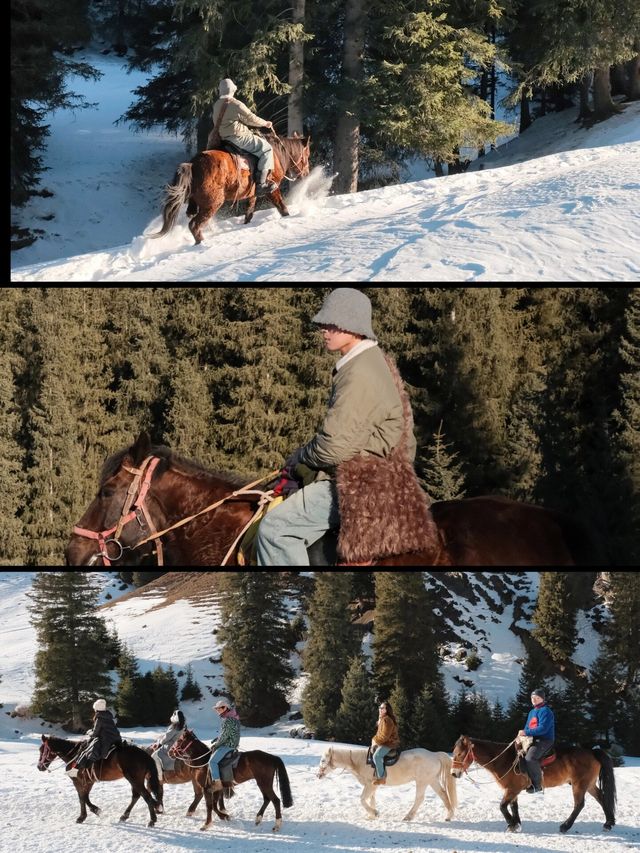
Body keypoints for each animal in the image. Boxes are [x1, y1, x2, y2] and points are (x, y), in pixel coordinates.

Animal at [152, 131, 310, 243]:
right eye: (307, 154)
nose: (307, 173)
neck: (276, 154)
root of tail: (193, 165)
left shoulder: (252, 194)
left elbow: (249, 212)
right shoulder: (273, 189)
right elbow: (282, 207)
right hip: (212, 204)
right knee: (194, 225)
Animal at [318, 744, 458, 824]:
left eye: (323, 760)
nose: (318, 775)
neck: (360, 762)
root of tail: (434, 755)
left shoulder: (371, 785)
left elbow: (362, 799)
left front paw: (374, 813)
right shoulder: (373, 786)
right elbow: (371, 799)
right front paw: (371, 815)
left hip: (422, 781)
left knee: (419, 798)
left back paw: (408, 817)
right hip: (431, 780)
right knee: (443, 794)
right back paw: (448, 816)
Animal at [450, 732, 616, 832]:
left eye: (460, 754)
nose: (453, 773)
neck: (504, 760)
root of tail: (592, 751)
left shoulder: (512, 789)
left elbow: (502, 806)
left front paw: (511, 824)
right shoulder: (513, 790)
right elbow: (514, 806)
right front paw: (516, 824)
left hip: (579, 784)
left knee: (579, 804)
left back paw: (565, 826)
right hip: (589, 784)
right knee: (602, 798)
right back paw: (609, 823)